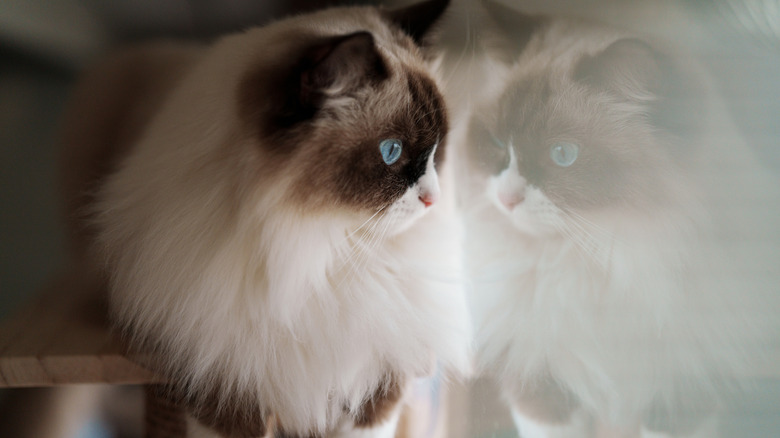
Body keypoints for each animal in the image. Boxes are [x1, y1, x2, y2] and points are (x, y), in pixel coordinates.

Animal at [58, 1, 472, 436]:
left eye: (437, 150)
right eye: (391, 151)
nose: (432, 198)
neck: (317, 248)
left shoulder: (381, 378)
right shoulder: (220, 381)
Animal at [442, 1, 776, 436]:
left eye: (562, 155)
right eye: (498, 143)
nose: (507, 198)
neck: (603, 258)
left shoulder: (682, 398)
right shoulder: (543, 388)